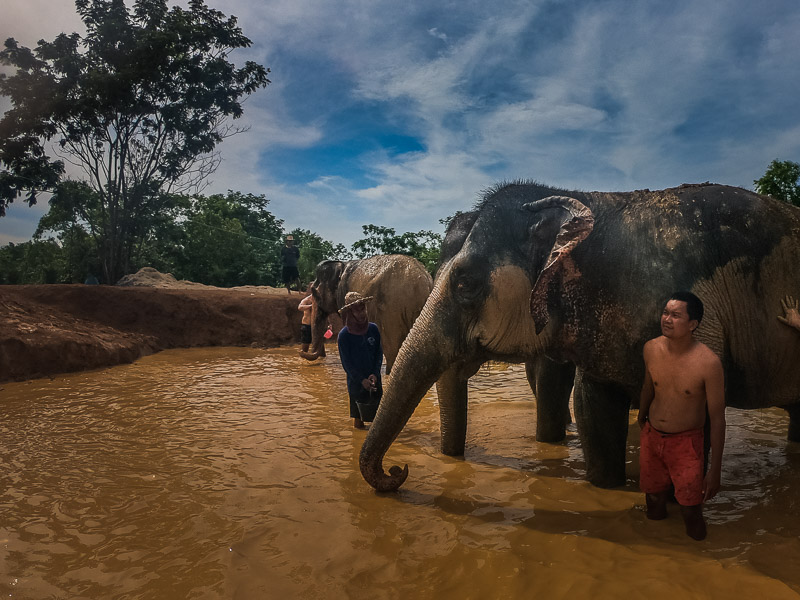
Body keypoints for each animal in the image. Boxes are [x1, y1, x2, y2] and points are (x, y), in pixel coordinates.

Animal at [304, 254, 434, 376]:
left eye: (314, 293)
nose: (303, 352)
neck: (340, 265)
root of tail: (422, 282)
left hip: (391, 312)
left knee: (391, 349)